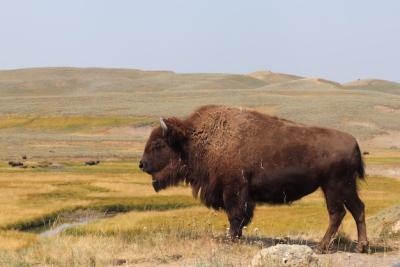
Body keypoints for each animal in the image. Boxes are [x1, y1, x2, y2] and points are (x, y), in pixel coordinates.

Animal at [140, 105, 368, 253]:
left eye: (158, 144)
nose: (141, 164)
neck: (194, 140)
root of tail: (355, 143)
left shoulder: (234, 190)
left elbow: (235, 216)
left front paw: (231, 240)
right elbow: (239, 218)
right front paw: (236, 238)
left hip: (334, 187)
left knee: (337, 213)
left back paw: (322, 247)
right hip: (346, 188)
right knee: (358, 209)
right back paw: (361, 247)